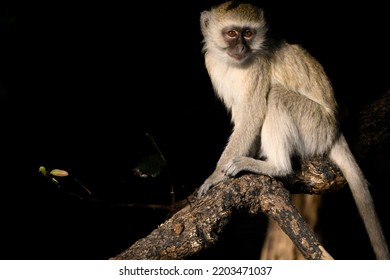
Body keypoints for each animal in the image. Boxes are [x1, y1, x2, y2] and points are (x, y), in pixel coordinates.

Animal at [200, 0, 388, 260]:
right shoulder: (212, 65)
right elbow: (243, 117)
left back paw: (275, 166)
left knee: (276, 96)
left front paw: (215, 176)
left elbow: (253, 115)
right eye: (231, 34)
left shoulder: (258, 67)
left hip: (315, 126)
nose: (241, 47)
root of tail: (335, 129)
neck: (232, 64)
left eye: (247, 33)